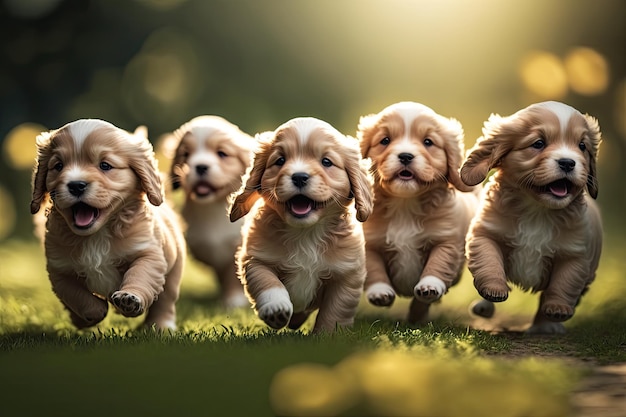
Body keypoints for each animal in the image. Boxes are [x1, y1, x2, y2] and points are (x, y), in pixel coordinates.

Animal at [30, 118, 185, 330]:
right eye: (58, 166)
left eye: (105, 165)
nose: (76, 185)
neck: (96, 235)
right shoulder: (59, 269)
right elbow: (75, 295)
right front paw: (93, 312)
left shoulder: (149, 253)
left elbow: (140, 275)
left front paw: (130, 299)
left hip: (174, 269)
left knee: (165, 300)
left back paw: (161, 325)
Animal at [169, 115, 255, 308]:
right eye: (186, 155)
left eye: (222, 154)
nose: (200, 166)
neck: (212, 207)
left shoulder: (237, 245)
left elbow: (233, 273)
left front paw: (235, 299)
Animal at [228, 116, 370, 332]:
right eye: (280, 161)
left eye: (326, 162)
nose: (299, 176)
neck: (306, 233)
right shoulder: (255, 259)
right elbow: (267, 281)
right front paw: (276, 308)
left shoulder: (347, 275)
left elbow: (335, 311)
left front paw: (327, 335)